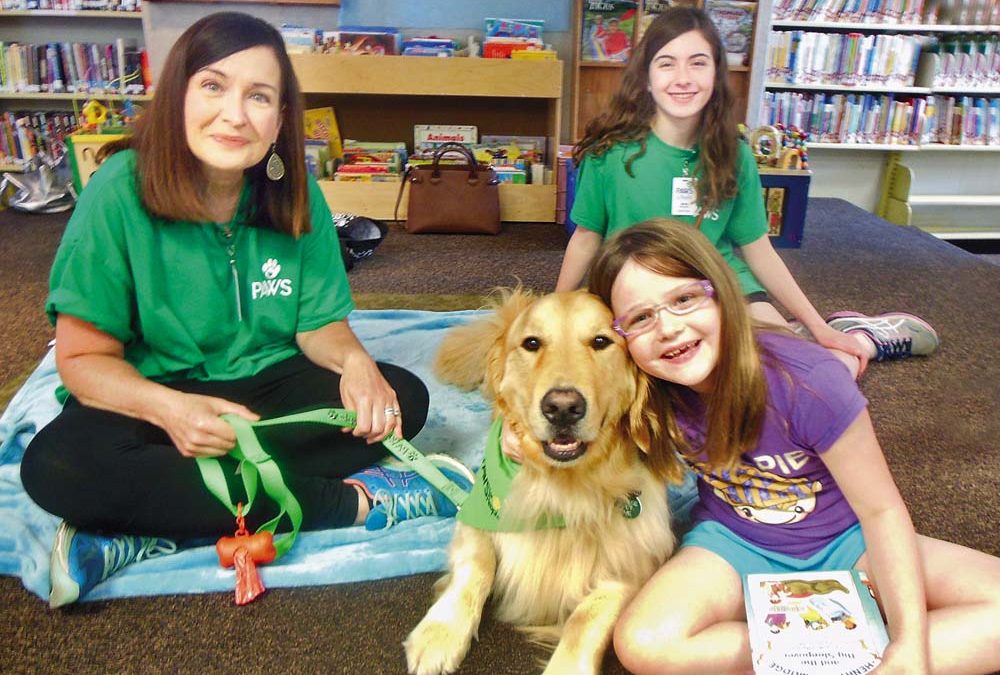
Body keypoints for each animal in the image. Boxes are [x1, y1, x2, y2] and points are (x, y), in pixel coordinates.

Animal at [404, 290, 680, 675]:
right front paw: (440, 633)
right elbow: (478, 564)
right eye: (532, 343)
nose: (562, 408)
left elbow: (586, 616)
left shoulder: (636, 560)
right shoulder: (475, 510)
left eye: (601, 341)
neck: (563, 489)